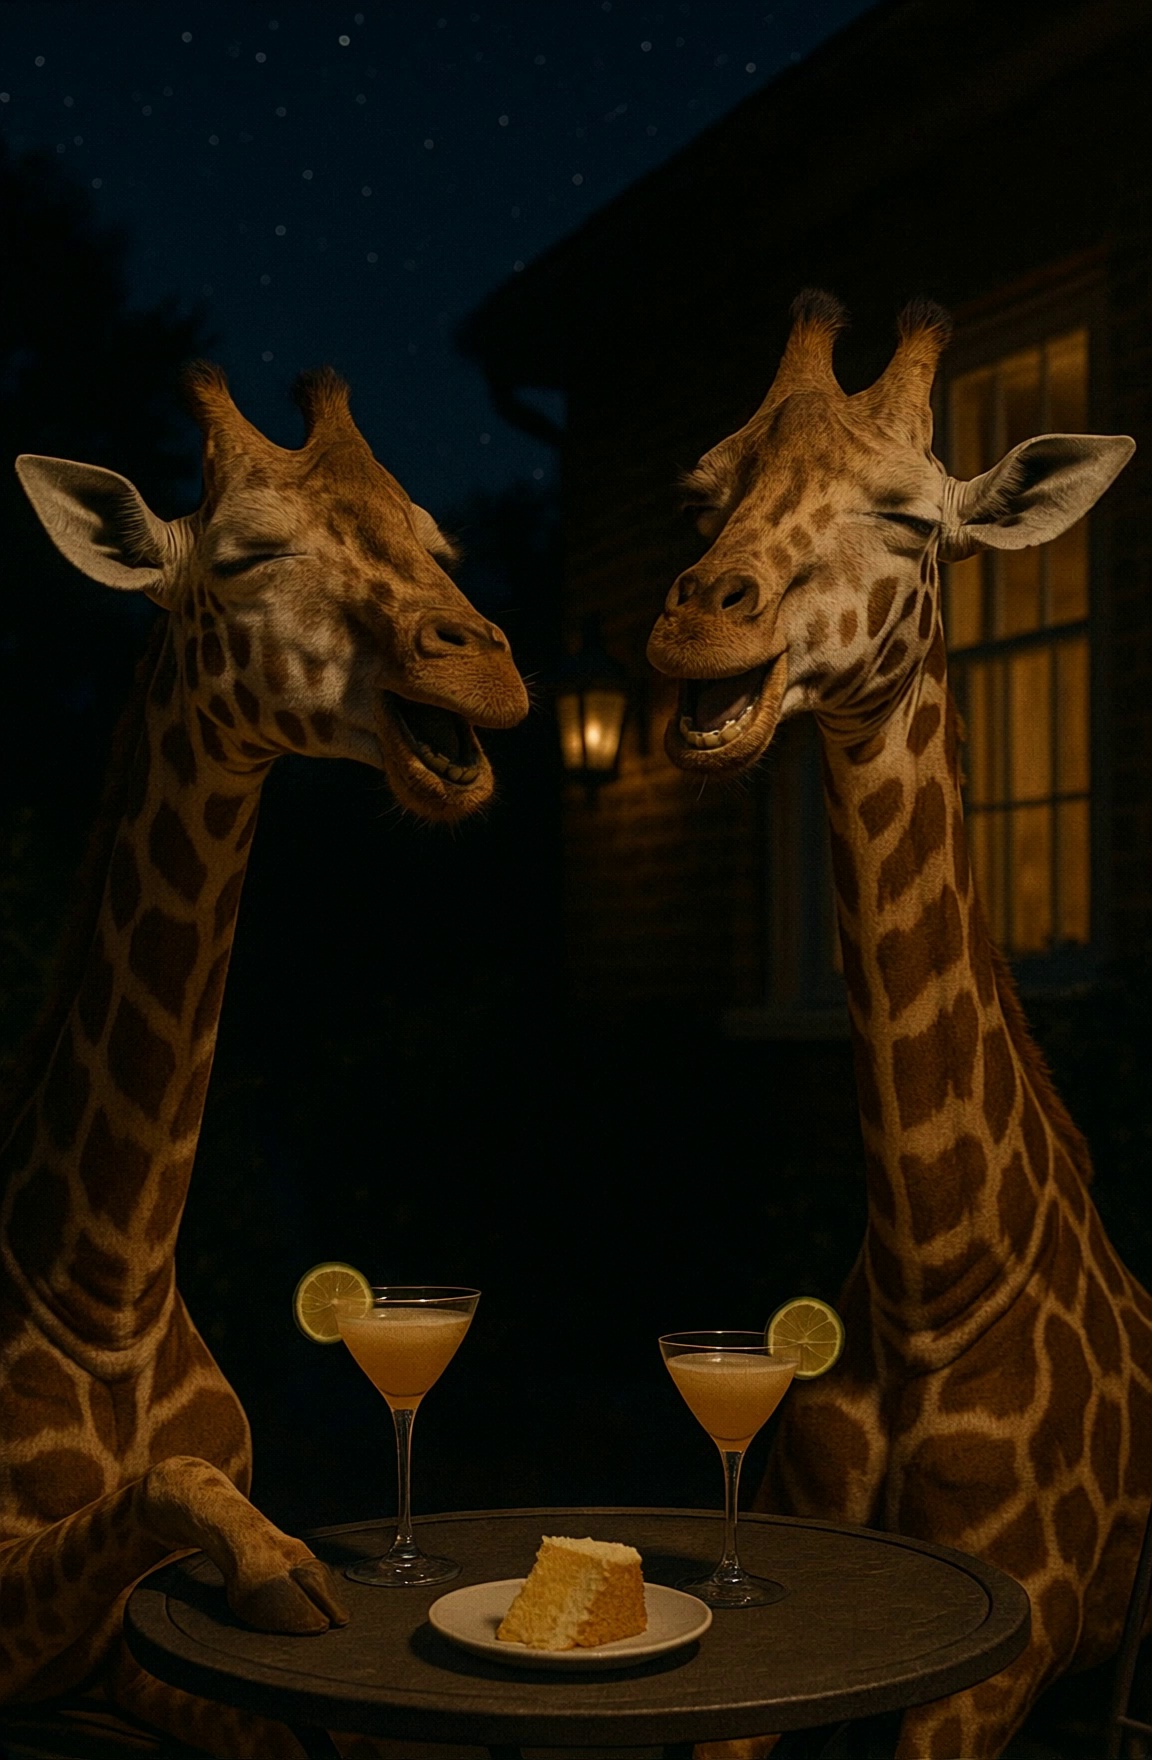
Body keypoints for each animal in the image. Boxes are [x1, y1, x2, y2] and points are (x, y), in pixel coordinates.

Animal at [0, 363, 528, 1756]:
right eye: (246, 554)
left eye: (436, 539)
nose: (490, 665)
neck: (106, 1292)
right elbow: (177, 1497)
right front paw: (282, 1564)